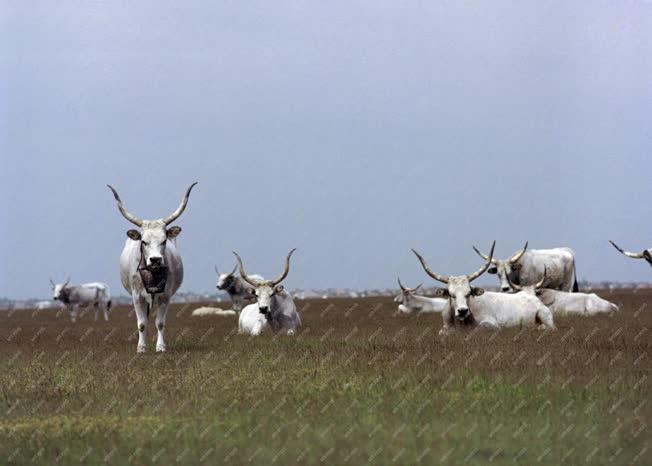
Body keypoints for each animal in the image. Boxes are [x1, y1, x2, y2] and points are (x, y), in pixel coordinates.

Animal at [107, 182, 196, 354]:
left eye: (164, 240)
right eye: (144, 241)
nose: (155, 260)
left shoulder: (165, 295)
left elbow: (160, 323)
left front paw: (160, 346)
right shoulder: (137, 296)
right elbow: (142, 324)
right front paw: (141, 347)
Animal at [412, 244, 556, 334]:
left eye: (469, 293)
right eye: (451, 295)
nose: (463, 311)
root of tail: (531, 295)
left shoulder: (491, 325)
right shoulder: (444, 329)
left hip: (544, 314)